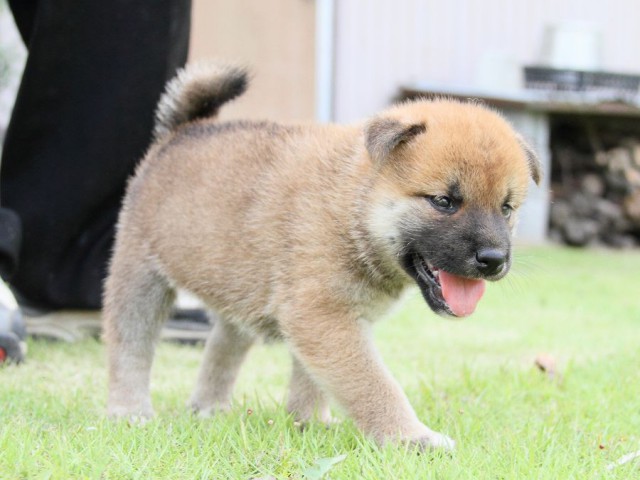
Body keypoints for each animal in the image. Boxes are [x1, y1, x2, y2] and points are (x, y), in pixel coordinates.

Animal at [104, 62, 540, 450]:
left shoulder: (322, 319)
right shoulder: (323, 315)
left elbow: (312, 377)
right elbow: (372, 383)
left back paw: (209, 409)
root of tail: (181, 132)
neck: (350, 202)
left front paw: (308, 422)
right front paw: (410, 437)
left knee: (223, 347)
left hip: (239, 288)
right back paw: (129, 411)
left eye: (506, 208)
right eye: (444, 202)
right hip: (140, 275)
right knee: (130, 347)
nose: (494, 259)